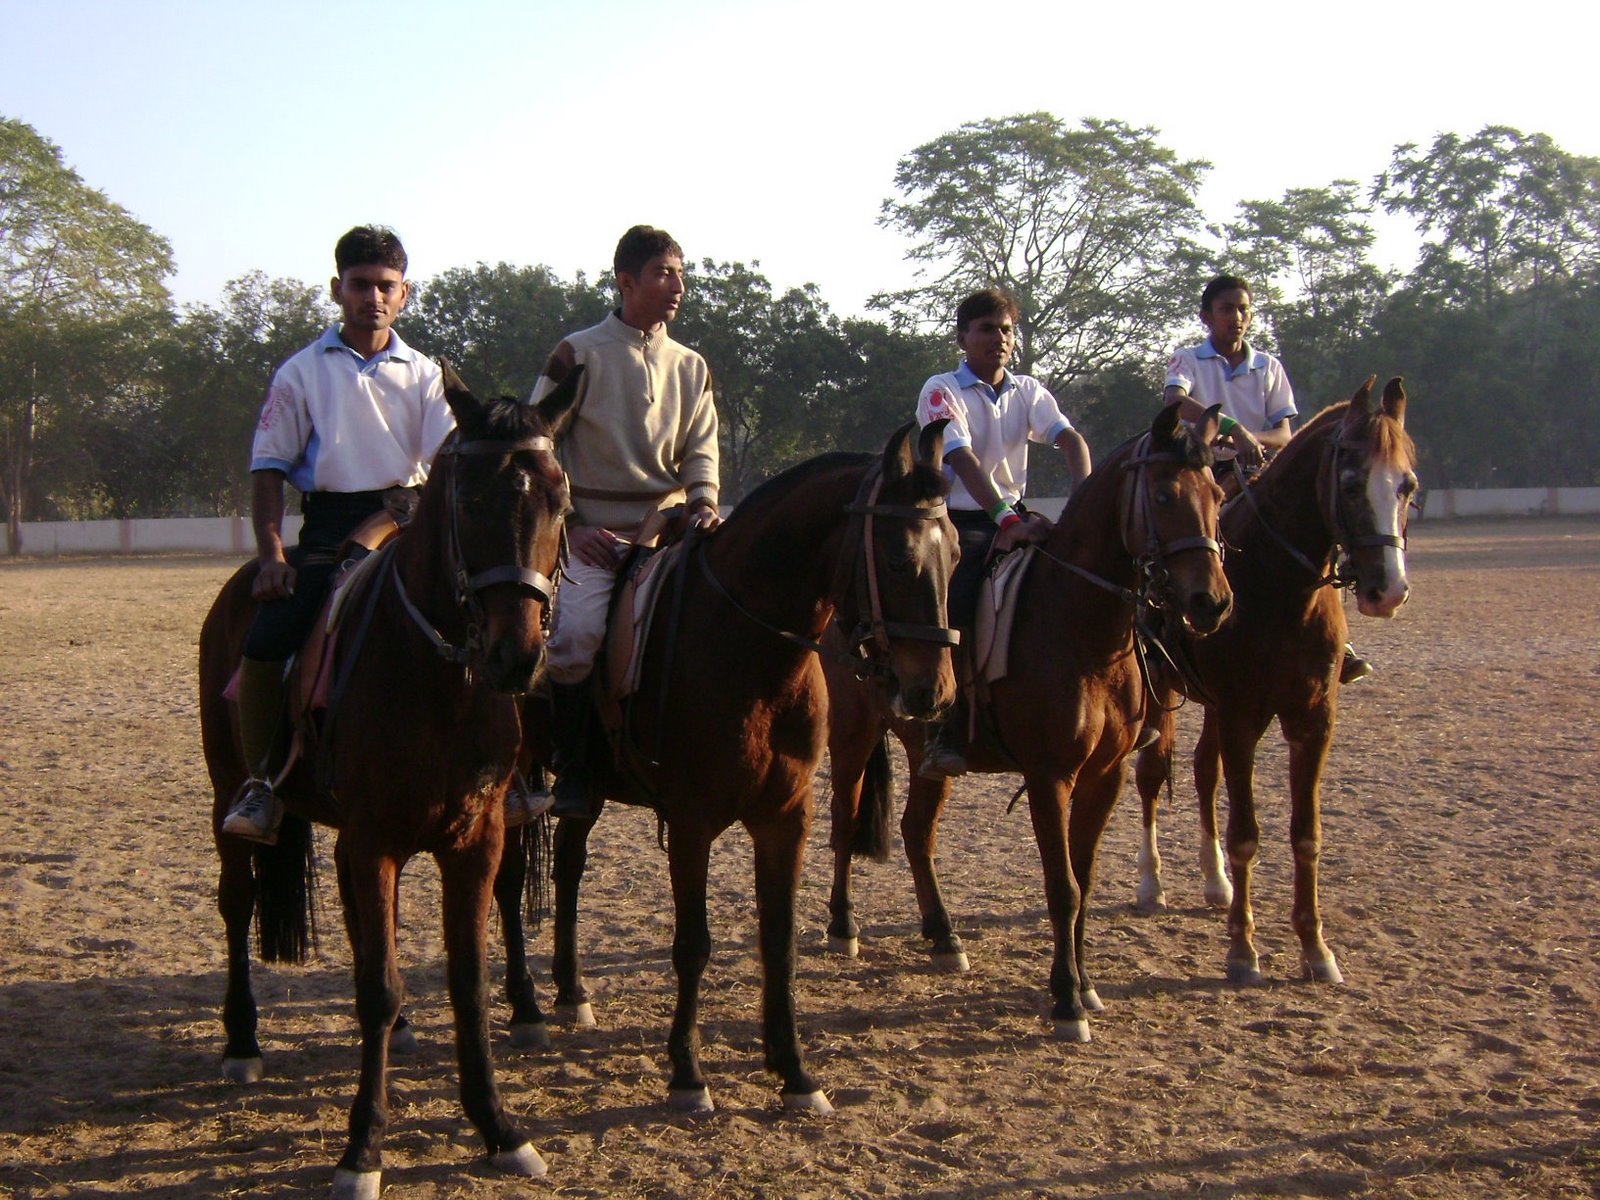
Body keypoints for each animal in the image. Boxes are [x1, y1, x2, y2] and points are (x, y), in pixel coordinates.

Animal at [197, 362, 578, 1199]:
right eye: (469, 500)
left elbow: (464, 980)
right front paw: (362, 1148)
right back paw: (241, 1041)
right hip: (227, 794)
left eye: (559, 499)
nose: (516, 657)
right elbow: (377, 985)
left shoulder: (474, 839)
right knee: (237, 902)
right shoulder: (372, 841)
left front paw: (499, 1128)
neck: (441, 676)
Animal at [523, 421, 958, 1114]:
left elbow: (778, 940)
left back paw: (572, 992)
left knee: (568, 866)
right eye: (897, 557)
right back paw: (526, 1011)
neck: (749, 650)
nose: (933, 692)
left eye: (959, 556)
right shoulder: (691, 823)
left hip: (585, 792)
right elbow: (693, 944)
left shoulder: (786, 818)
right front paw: (687, 1071)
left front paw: (794, 1070)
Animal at [824, 403, 1233, 1040]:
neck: (1082, 626)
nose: (1211, 602)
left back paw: (943, 936)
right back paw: (843, 927)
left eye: (1216, 493)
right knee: (844, 818)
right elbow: (1062, 887)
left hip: (926, 752)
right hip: (852, 732)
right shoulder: (1050, 777)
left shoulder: (1104, 776)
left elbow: (1083, 880)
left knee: (917, 831)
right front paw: (1066, 1001)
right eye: (1165, 495)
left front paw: (1085, 985)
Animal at [1130, 376, 1415, 985]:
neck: (1282, 587)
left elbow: (1306, 835)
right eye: (1350, 484)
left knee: (1203, 772)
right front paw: (1243, 951)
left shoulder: (1313, 719)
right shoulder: (1244, 714)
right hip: (1168, 693)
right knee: (1153, 774)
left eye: (1407, 485)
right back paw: (1151, 882)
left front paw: (1315, 948)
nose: (1387, 590)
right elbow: (1246, 834)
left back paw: (1215, 881)